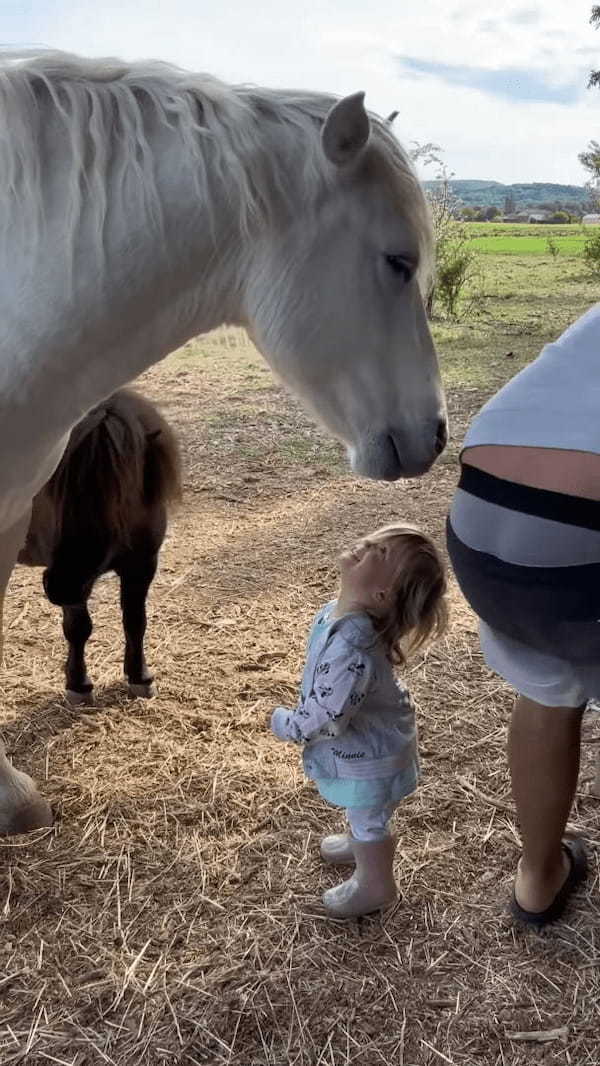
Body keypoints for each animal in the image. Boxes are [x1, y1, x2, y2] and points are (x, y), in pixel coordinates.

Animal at [19, 388, 183, 703]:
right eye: (50, 487)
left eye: (120, 496)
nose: (61, 588)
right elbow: (78, 628)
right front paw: (78, 684)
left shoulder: (142, 566)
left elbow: (135, 620)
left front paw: (139, 675)